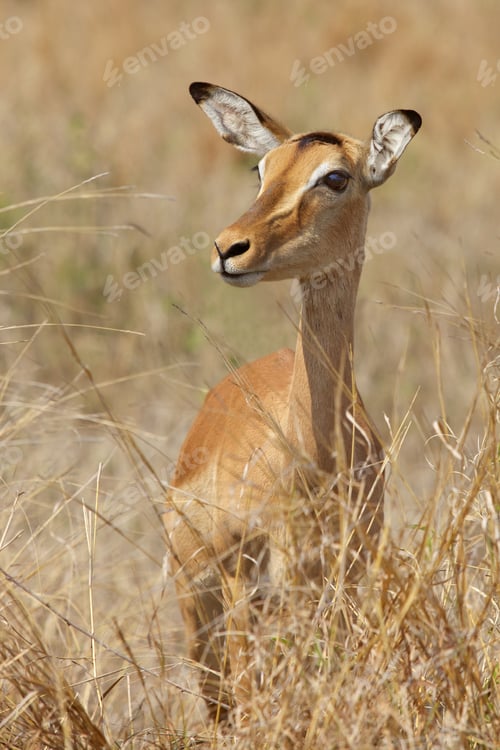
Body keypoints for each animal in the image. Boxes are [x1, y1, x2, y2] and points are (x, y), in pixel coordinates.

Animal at [166, 82, 421, 721]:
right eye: (260, 169)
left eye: (335, 177)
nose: (229, 248)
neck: (317, 455)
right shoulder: (249, 586)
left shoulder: (343, 582)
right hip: (201, 605)